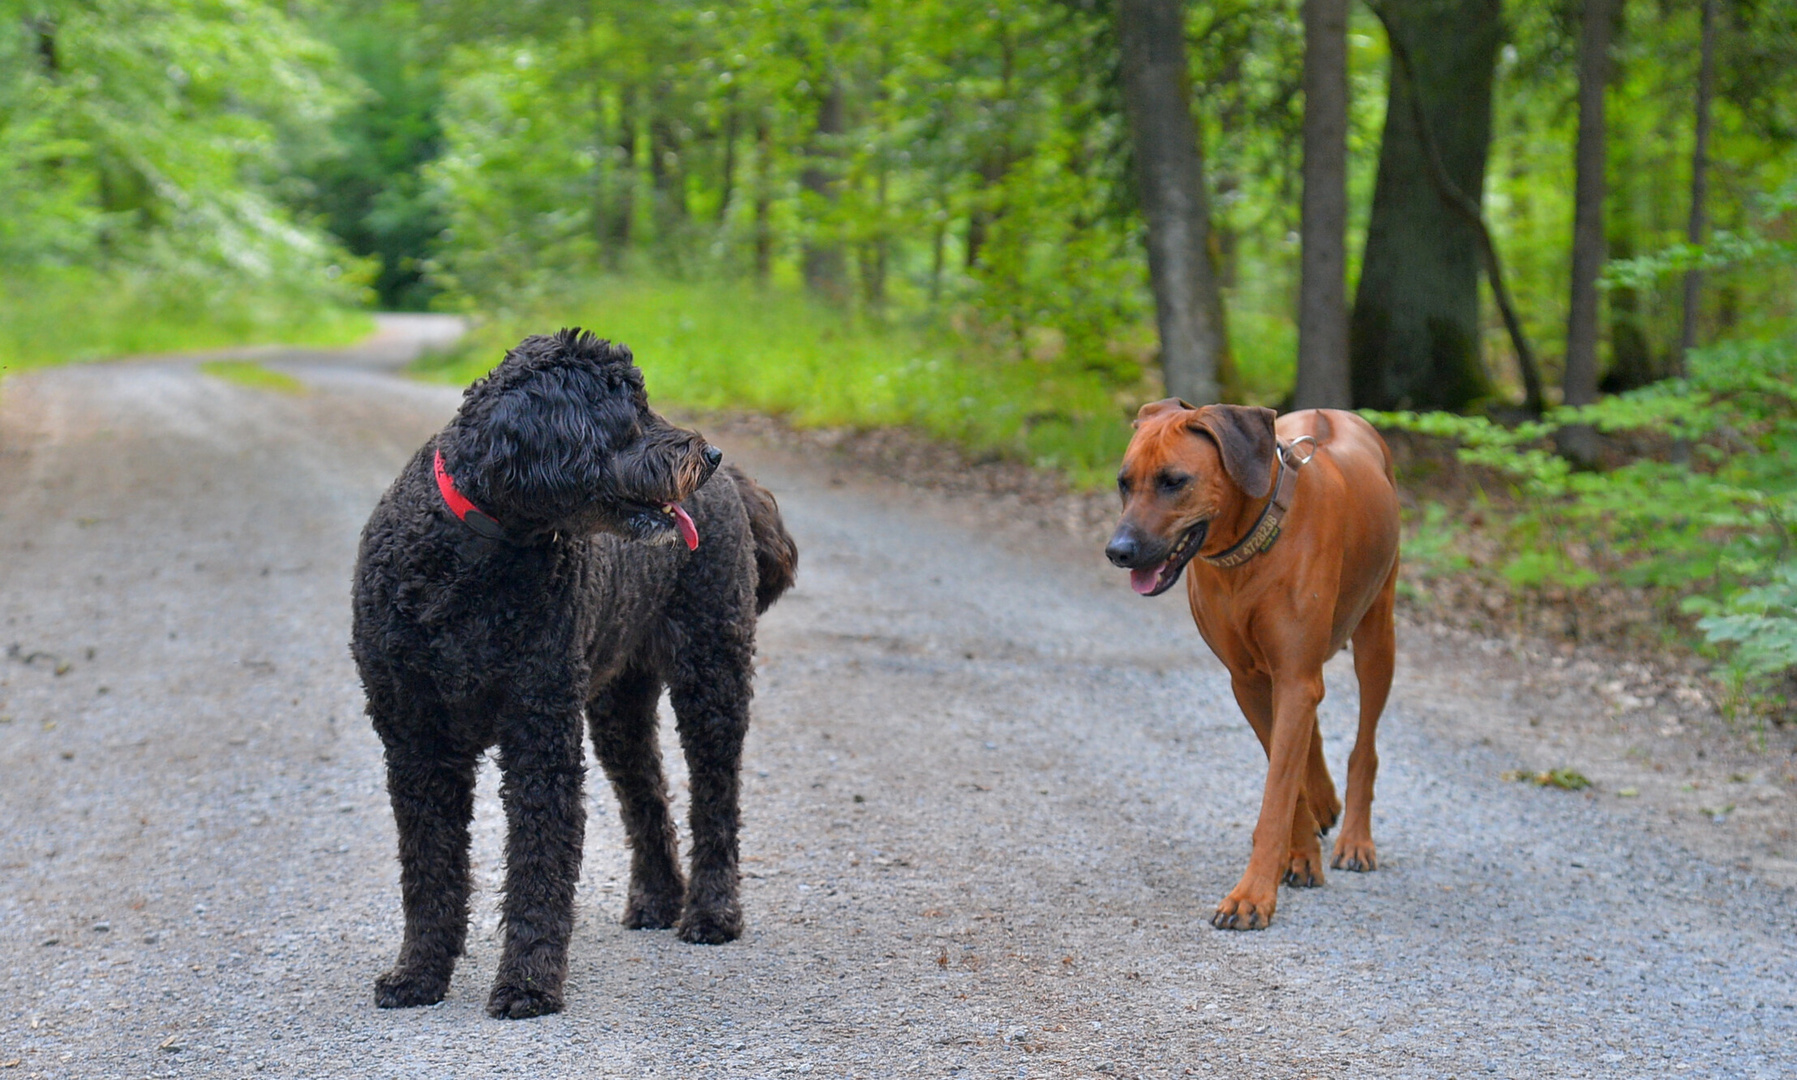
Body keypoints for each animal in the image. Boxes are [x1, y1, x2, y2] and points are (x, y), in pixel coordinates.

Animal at [350, 323, 794, 1013]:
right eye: (627, 416)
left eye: (646, 405)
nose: (710, 454)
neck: (472, 561)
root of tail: (736, 487)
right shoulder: (416, 742)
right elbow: (428, 870)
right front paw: (418, 974)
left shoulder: (540, 732)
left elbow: (540, 864)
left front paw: (528, 983)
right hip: (617, 709)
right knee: (648, 796)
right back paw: (657, 899)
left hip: (712, 676)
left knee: (715, 801)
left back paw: (712, 912)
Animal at [1106, 400, 1401, 927]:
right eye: (1124, 481)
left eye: (1173, 481)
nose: (1118, 551)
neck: (1250, 549)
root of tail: (1335, 412)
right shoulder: (1247, 682)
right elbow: (1288, 781)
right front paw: (1299, 855)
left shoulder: (1292, 677)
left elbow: (1277, 793)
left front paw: (1252, 894)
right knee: (1311, 728)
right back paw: (1323, 802)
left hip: (1377, 633)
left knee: (1363, 746)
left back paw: (1355, 839)